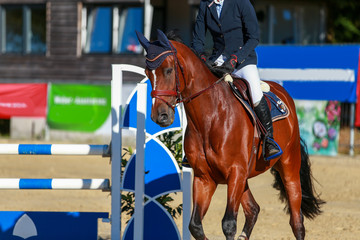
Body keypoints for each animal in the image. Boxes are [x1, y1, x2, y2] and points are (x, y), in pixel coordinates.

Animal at [136, 30, 324, 240]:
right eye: (147, 73)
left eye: (169, 70)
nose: (160, 116)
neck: (210, 118)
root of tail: (284, 94)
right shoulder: (205, 178)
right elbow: (195, 225)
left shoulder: (235, 173)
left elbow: (228, 224)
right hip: (244, 178)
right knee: (253, 209)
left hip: (288, 166)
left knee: (296, 221)